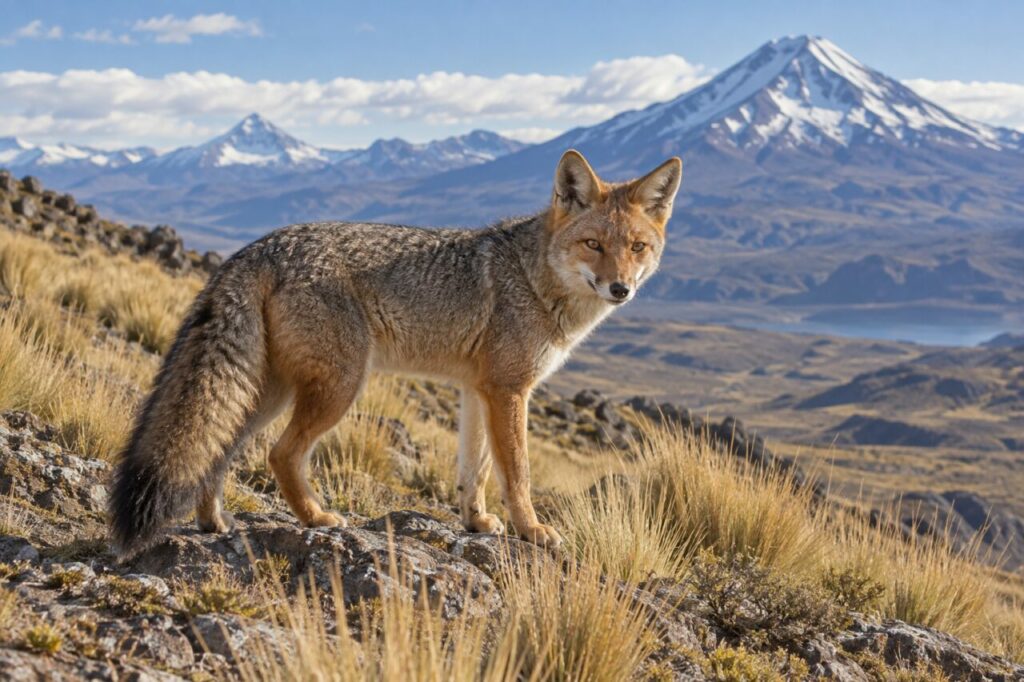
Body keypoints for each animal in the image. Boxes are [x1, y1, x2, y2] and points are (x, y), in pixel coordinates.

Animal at [108, 149, 682, 556]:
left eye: (637, 248)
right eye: (593, 245)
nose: (620, 289)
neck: (535, 277)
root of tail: (260, 246)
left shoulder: (477, 391)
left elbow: (473, 471)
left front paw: (476, 522)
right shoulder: (509, 391)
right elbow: (516, 473)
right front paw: (533, 530)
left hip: (270, 392)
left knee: (220, 451)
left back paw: (214, 522)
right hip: (338, 387)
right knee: (280, 453)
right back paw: (316, 519)